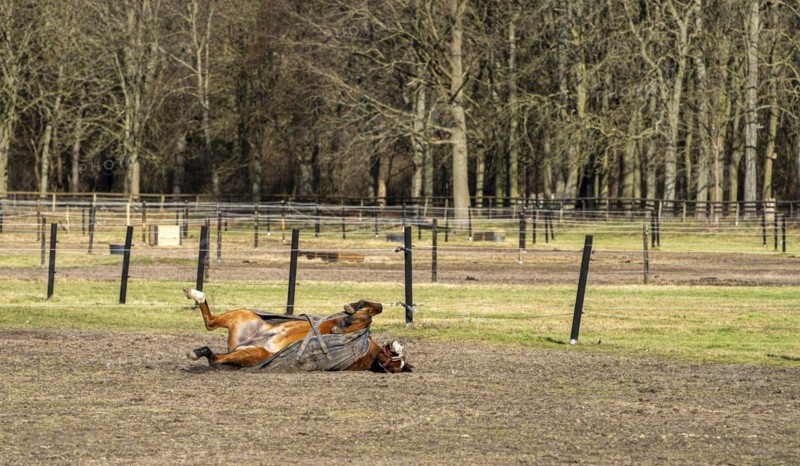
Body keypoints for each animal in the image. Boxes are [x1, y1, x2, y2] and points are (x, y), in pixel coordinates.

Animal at [183, 289, 411, 373]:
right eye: (395, 356)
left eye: (394, 366)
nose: (396, 346)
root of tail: (244, 343)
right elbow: (374, 310)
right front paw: (353, 308)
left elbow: (368, 317)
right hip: (243, 315)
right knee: (210, 322)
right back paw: (196, 294)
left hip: (255, 353)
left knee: (215, 356)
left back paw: (198, 352)